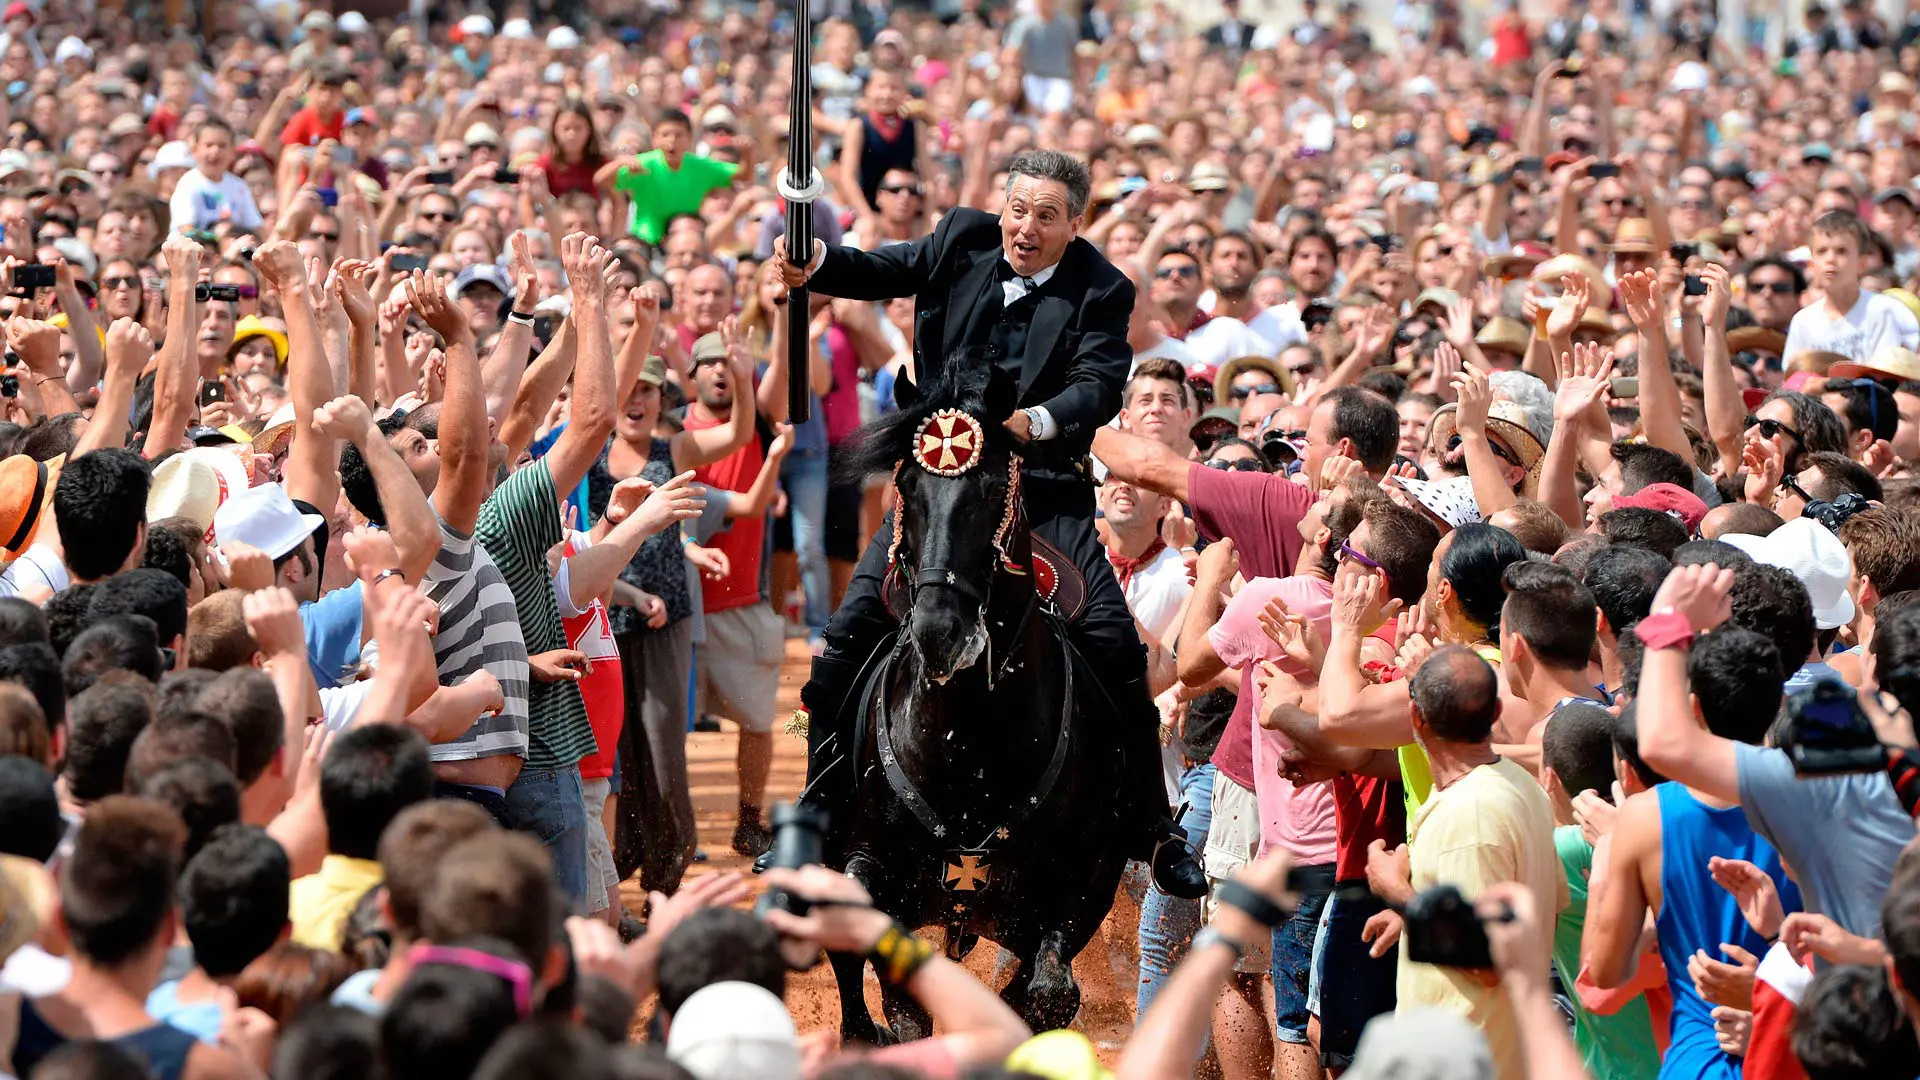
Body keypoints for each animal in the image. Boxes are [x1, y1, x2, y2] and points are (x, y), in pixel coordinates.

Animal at [821, 363, 1121, 1045]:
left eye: (988, 489)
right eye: (907, 484)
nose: (939, 631)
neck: (969, 743)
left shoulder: (1081, 891)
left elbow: (1045, 994)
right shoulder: (875, 869)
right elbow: (896, 987)